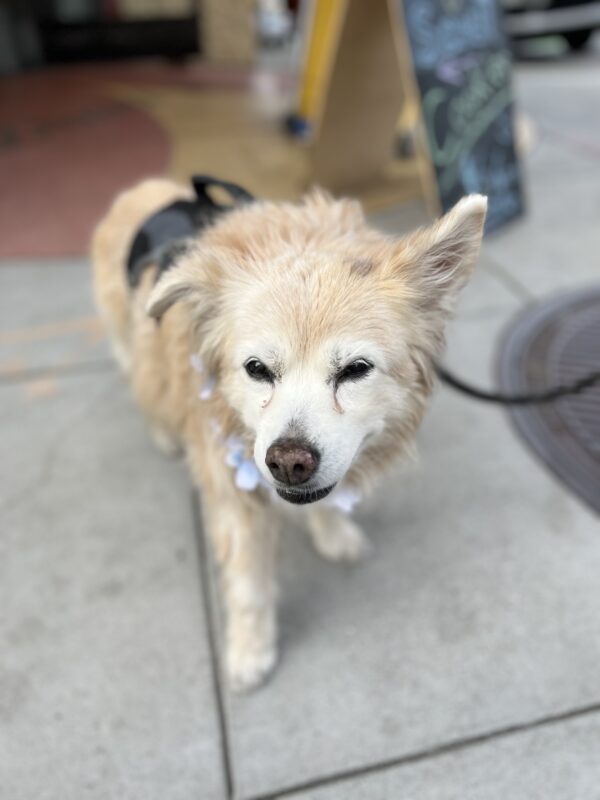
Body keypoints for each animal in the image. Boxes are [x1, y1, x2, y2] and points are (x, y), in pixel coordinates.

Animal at [94, 178, 488, 692]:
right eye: (256, 369)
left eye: (356, 369)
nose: (288, 462)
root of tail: (143, 188)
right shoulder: (231, 491)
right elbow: (248, 586)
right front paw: (250, 652)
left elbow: (325, 506)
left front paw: (334, 534)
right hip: (130, 339)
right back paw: (163, 433)